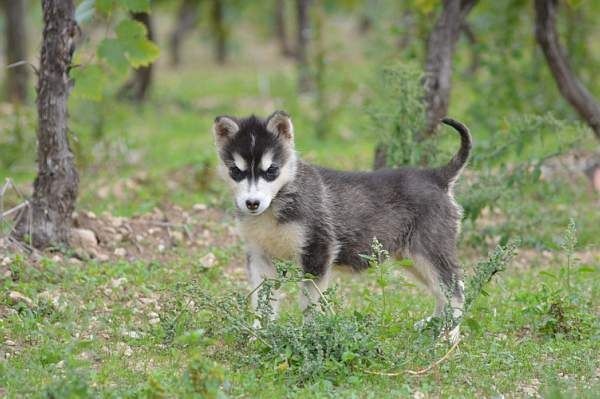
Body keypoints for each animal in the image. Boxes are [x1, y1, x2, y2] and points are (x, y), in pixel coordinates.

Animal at [213, 111, 472, 340]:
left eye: (271, 171)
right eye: (236, 171)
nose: (252, 203)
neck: (278, 202)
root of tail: (436, 177)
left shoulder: (317, 251)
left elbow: (309, 303)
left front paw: (310, 334)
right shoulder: (260, 257)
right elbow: (261, 303)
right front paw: (258, 336)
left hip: (429, 251)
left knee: (456, 292)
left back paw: (448, 336)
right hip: (412, 258)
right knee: (443, 291)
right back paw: (434, 325)